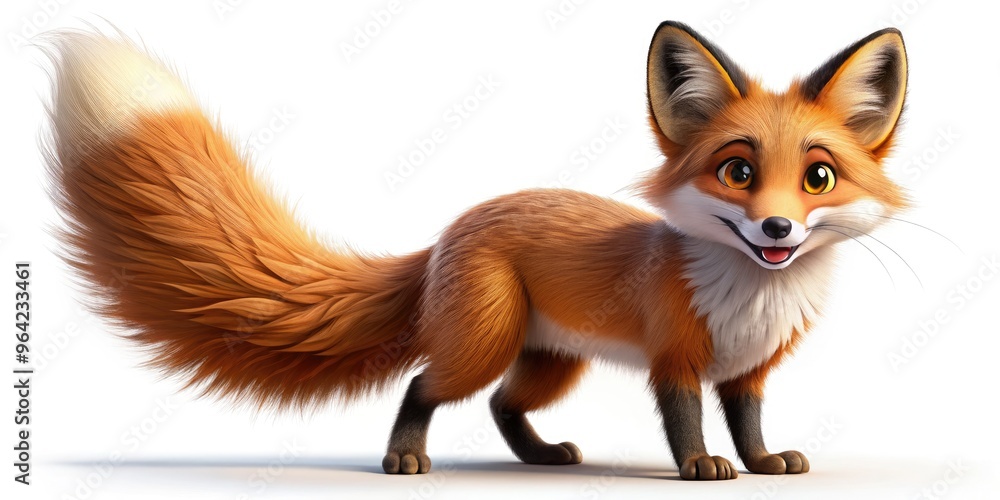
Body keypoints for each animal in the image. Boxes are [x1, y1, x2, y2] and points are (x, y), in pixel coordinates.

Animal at [42, 21, 907, 480]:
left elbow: (751, 427)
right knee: (425, 386)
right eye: (738, 173)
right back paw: (403, 459)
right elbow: (688, 424)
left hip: (551, 361)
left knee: (499, 406)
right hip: (485, 343)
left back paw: (541, 456)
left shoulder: (748, 371)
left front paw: (760, 465)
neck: (751, 296)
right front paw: (699, 469)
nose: (777, 231)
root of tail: (448, 234)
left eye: (818, 177)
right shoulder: (677, 359)